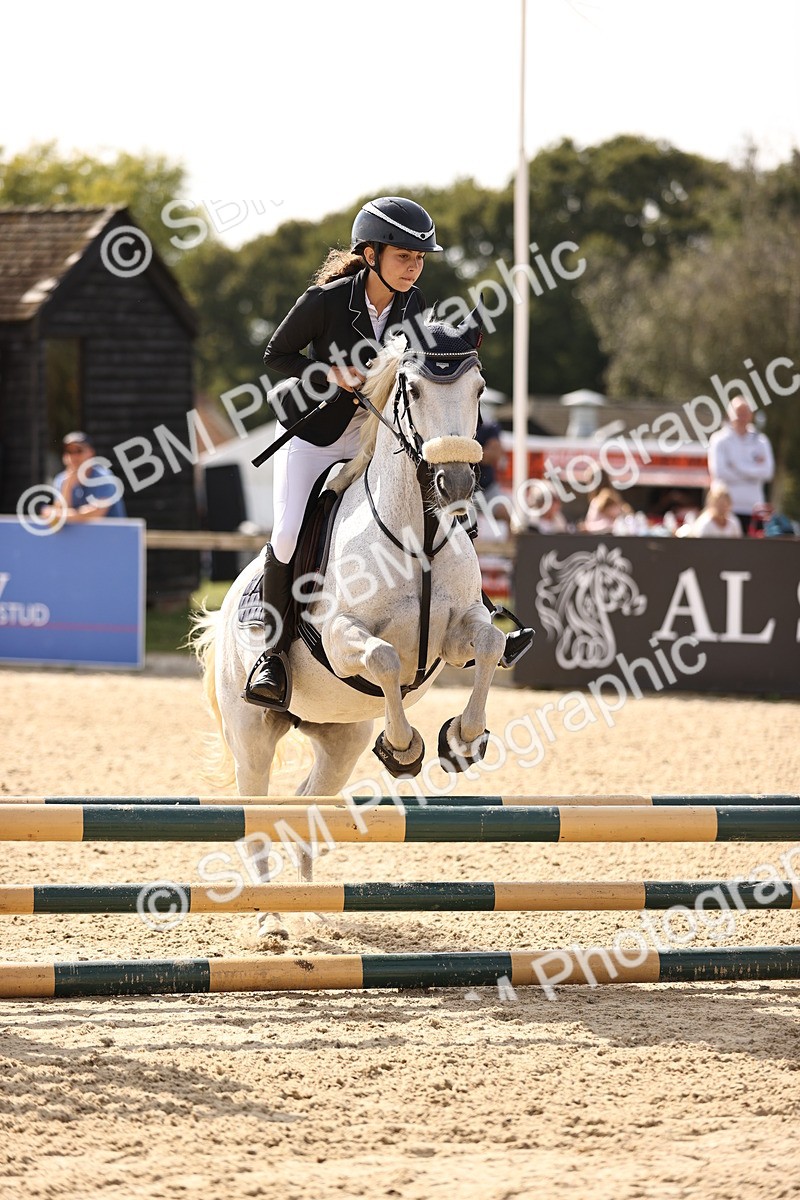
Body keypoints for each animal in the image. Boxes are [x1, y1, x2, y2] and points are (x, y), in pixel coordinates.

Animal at [192, 302, 506, 940]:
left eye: (480, 388)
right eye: (413, 388)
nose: (457, 485)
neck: (420, 533)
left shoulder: (458, 632)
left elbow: (487, 645)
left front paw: (463, 739)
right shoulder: (342, 639)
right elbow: (384, 659)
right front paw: (405, 748)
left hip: (339, 738)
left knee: (307, 802)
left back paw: (309, 904)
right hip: (252, 733)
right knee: (257, 818)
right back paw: (270, 921)